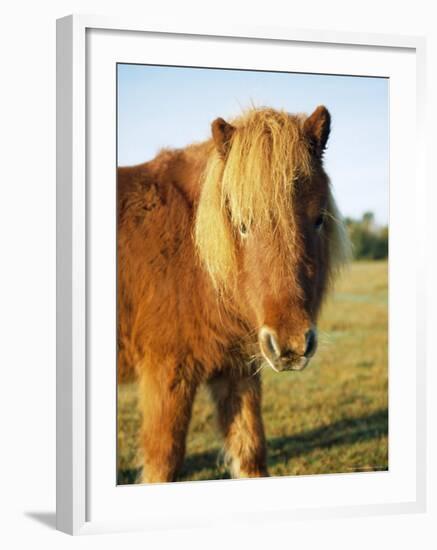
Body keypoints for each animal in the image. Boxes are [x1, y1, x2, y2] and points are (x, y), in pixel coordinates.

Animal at [116, 106, 348, 484]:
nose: (291, 345)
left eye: (318, 219)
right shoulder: (166, 374)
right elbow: (164, 461)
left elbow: (250, 452)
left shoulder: (237, 370)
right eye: (241, 224)